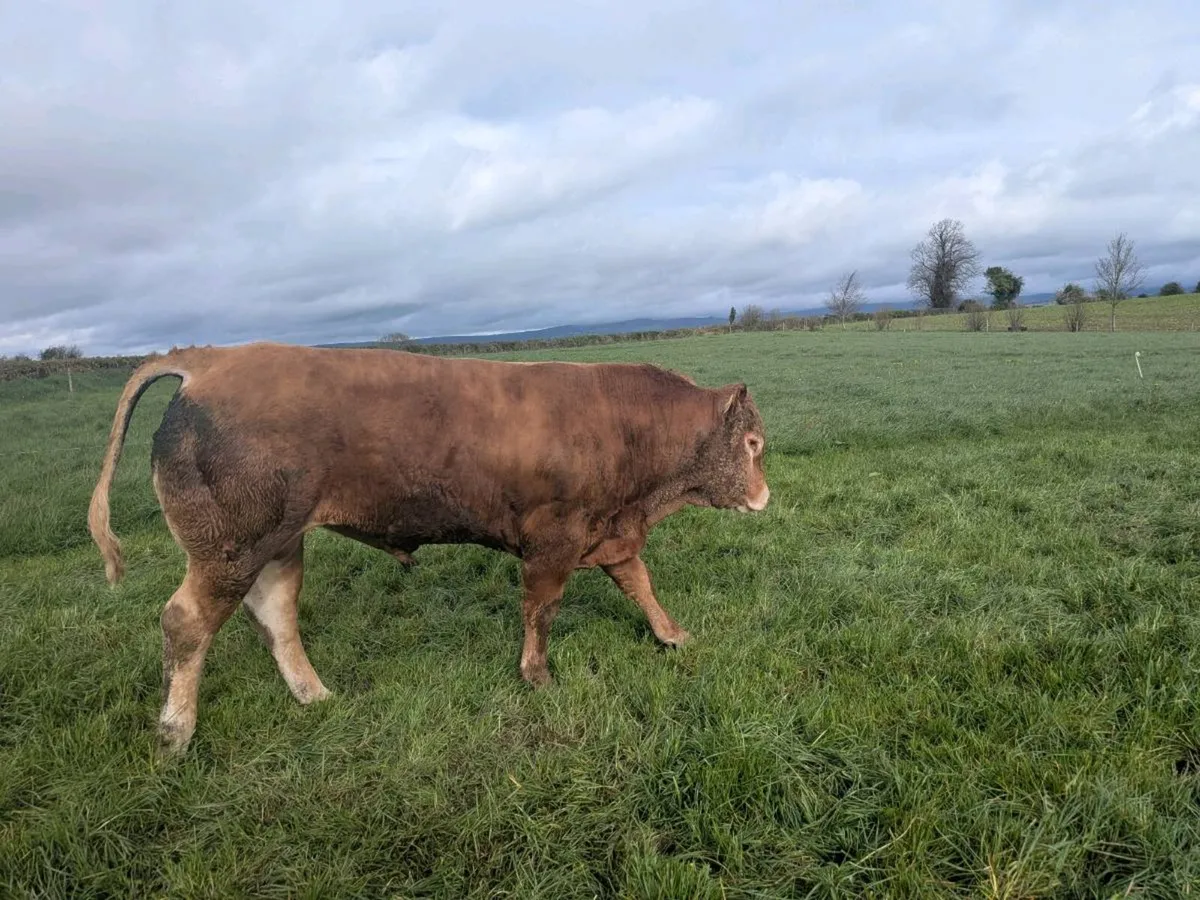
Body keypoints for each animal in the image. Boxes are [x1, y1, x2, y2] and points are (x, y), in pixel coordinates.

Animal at [87, 341, 770, 754]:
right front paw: (538, 677)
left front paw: (672, 635)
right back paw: (176, 732)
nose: (765, 495)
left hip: (277, 544)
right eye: (754, 443)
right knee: (186, 622)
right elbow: (542, 610)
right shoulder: (554, 541)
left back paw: (315, 695)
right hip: (230, 547)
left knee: (275, 617)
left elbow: (639, 583)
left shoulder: (608, 533)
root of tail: (209, 360)